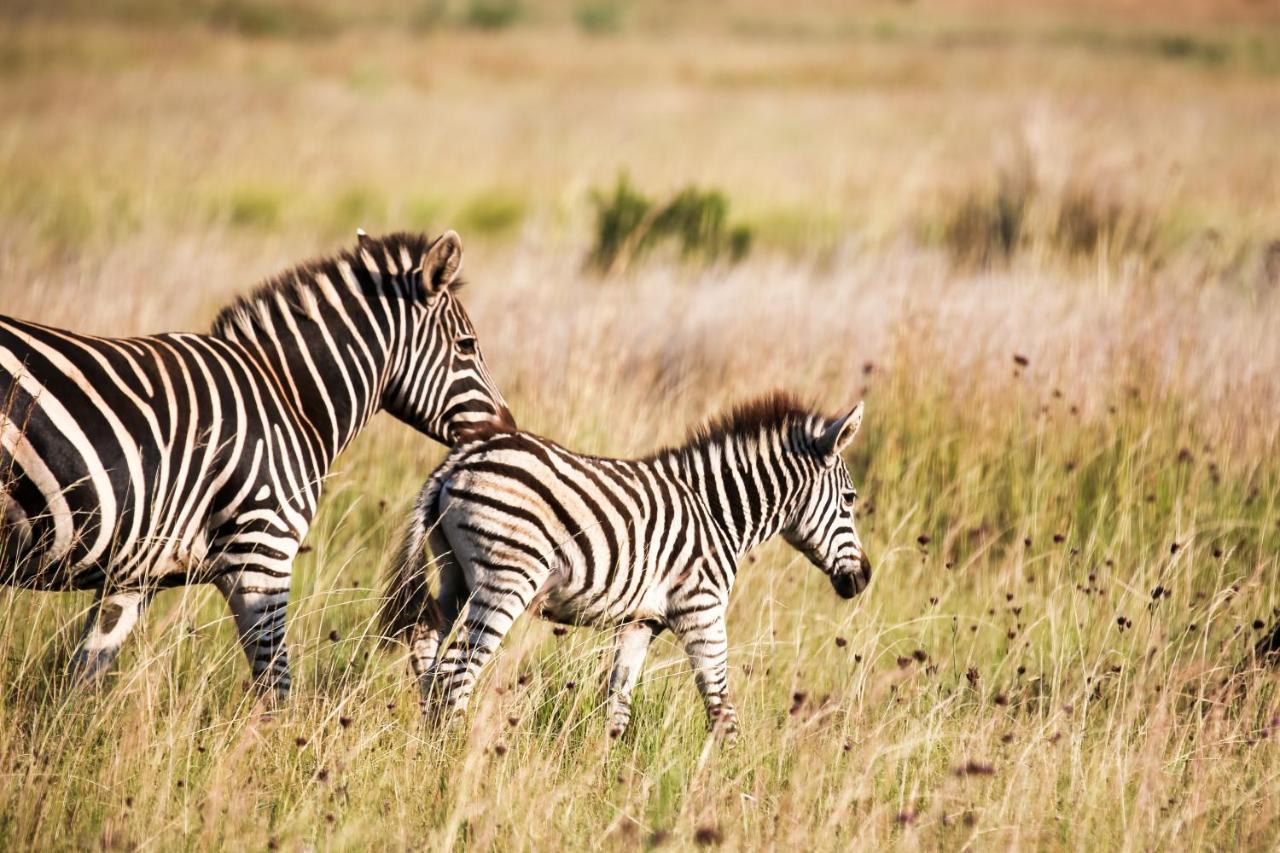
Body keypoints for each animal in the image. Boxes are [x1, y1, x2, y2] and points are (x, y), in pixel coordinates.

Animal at [0, 229, 509, 696]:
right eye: (467, 345)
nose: (506, 428)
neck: (289, 398)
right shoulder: (263, 555)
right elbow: (277, 686)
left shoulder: (133, 574)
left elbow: (80, 685)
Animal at [378, 389, 870, 732]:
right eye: (850, 500)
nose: (864, 578)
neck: (715, 513)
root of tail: (461, 459)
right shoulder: (701, 609)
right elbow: (720, 703)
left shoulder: (640, 621)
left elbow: (617, 703)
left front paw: (607, 780)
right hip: (506, 579)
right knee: (455, 674)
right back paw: (452, 761)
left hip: (454, 574)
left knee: (427, 646)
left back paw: (426, 747)